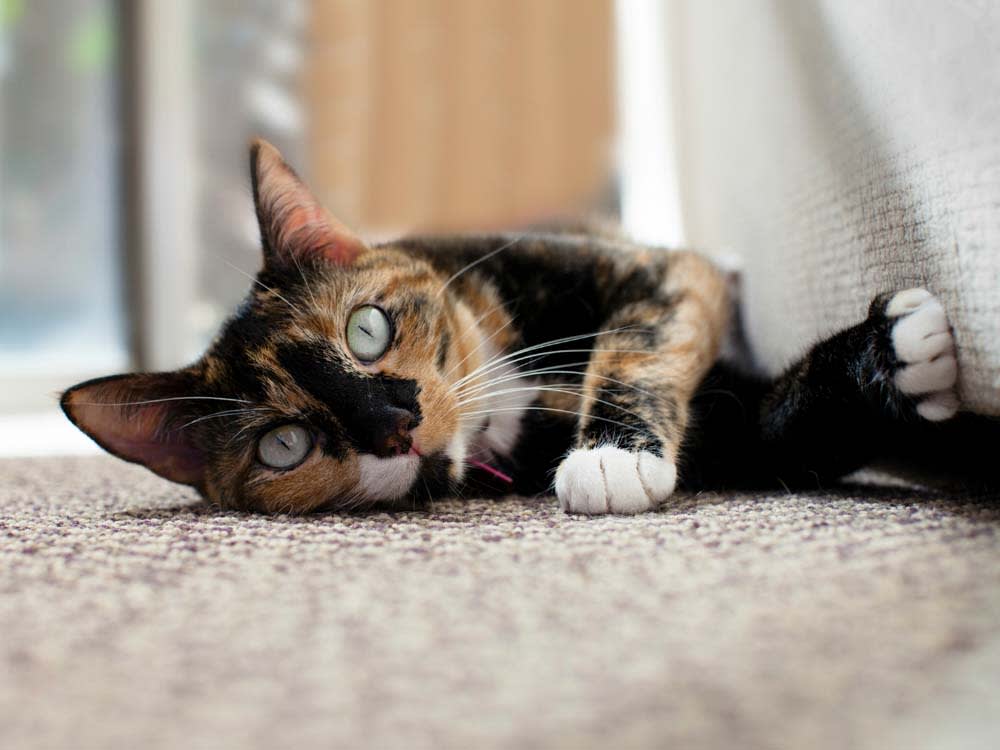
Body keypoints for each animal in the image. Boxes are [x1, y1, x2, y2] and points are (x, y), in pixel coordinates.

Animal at [62, 140, 992, 516]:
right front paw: (894, 362)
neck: (501, 409)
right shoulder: (736, 438)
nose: (393, 423)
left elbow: (641, 340)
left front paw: (610, 454)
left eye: (366, 330)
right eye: (283, 444)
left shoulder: (651, 276)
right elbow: (780, 432)